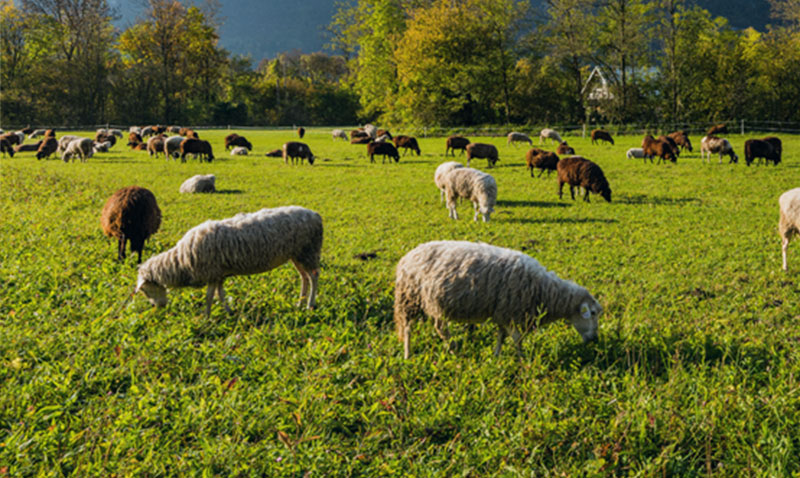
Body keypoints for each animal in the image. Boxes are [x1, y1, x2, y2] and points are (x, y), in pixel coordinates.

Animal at [136, 205, 324, 318]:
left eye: (145, 290)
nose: (158, 307)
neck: (180, 261)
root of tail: (315, 215)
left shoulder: (212, 273)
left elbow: (209, 296)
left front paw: (206, 317)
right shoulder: (219, 274)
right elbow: (220, 294)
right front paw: (228, 311)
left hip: (309, 250)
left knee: (313, 277)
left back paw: (310, 304)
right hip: (297, 254)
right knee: (304, 277)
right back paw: (300, 302)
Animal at [394, 241, 600, 356]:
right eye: (592, 313)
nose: (595, 340)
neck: (545, 291)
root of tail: (407, 256)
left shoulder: (503, 312)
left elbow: (502, 336)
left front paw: (497, 355)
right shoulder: (512, 312)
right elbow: (517, 339)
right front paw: (522, 359)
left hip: (428, 302)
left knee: (437, 327)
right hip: (410, 298)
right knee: (411, 329)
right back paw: (411, 354)